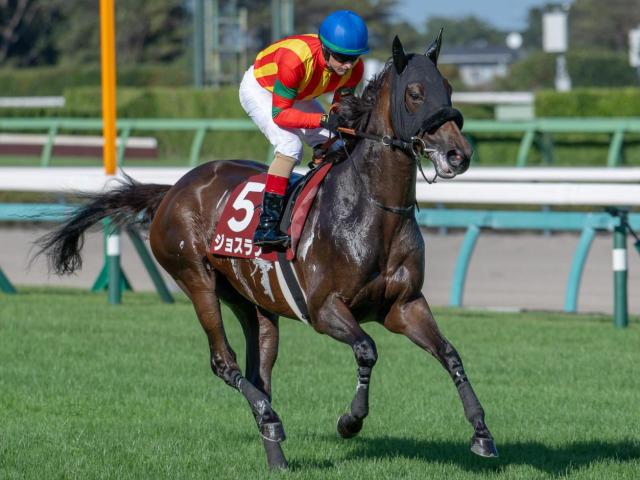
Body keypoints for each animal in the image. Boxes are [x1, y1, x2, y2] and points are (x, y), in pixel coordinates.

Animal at [36, 34, 498, 470]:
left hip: (253, 302)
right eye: (415, 93)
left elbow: (450, 354)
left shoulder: (403, 305)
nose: (459, 154)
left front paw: (481, 433)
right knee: (224, 363)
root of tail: (173, 190)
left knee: (260, 373)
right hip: (197, 279)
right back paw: (270, 420)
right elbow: (367, 349)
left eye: (449, 88)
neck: (371, 209)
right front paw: (350, 421)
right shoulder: (324, 309)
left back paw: (274, 448)